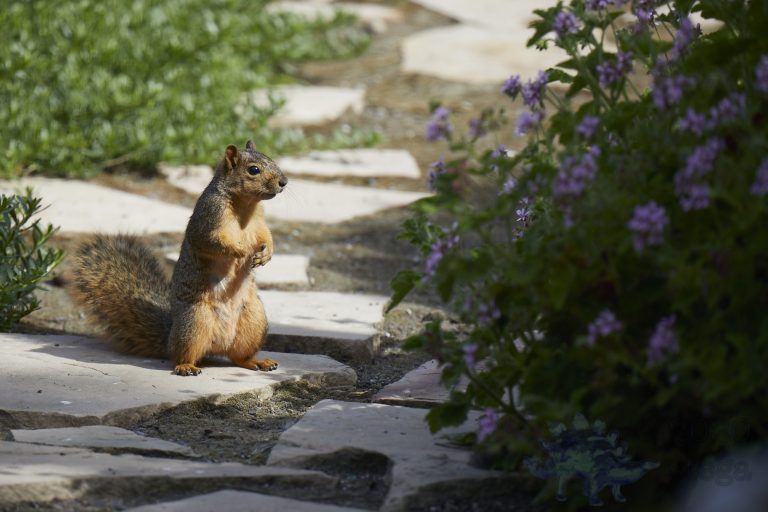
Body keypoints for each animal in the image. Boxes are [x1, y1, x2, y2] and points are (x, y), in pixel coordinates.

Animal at [72, 140, 288, 376]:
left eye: (271, 159)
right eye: (253, 170)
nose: (284, 182)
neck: (245, 206)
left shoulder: (260, 222)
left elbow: (266, 236)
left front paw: (266, 254)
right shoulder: (207, 219)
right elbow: (212, 242)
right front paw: (240, 251)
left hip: (254, 322)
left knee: (238, 356)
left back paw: (257, 361)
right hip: (194, 323)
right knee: (181, 354)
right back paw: (186, 366)